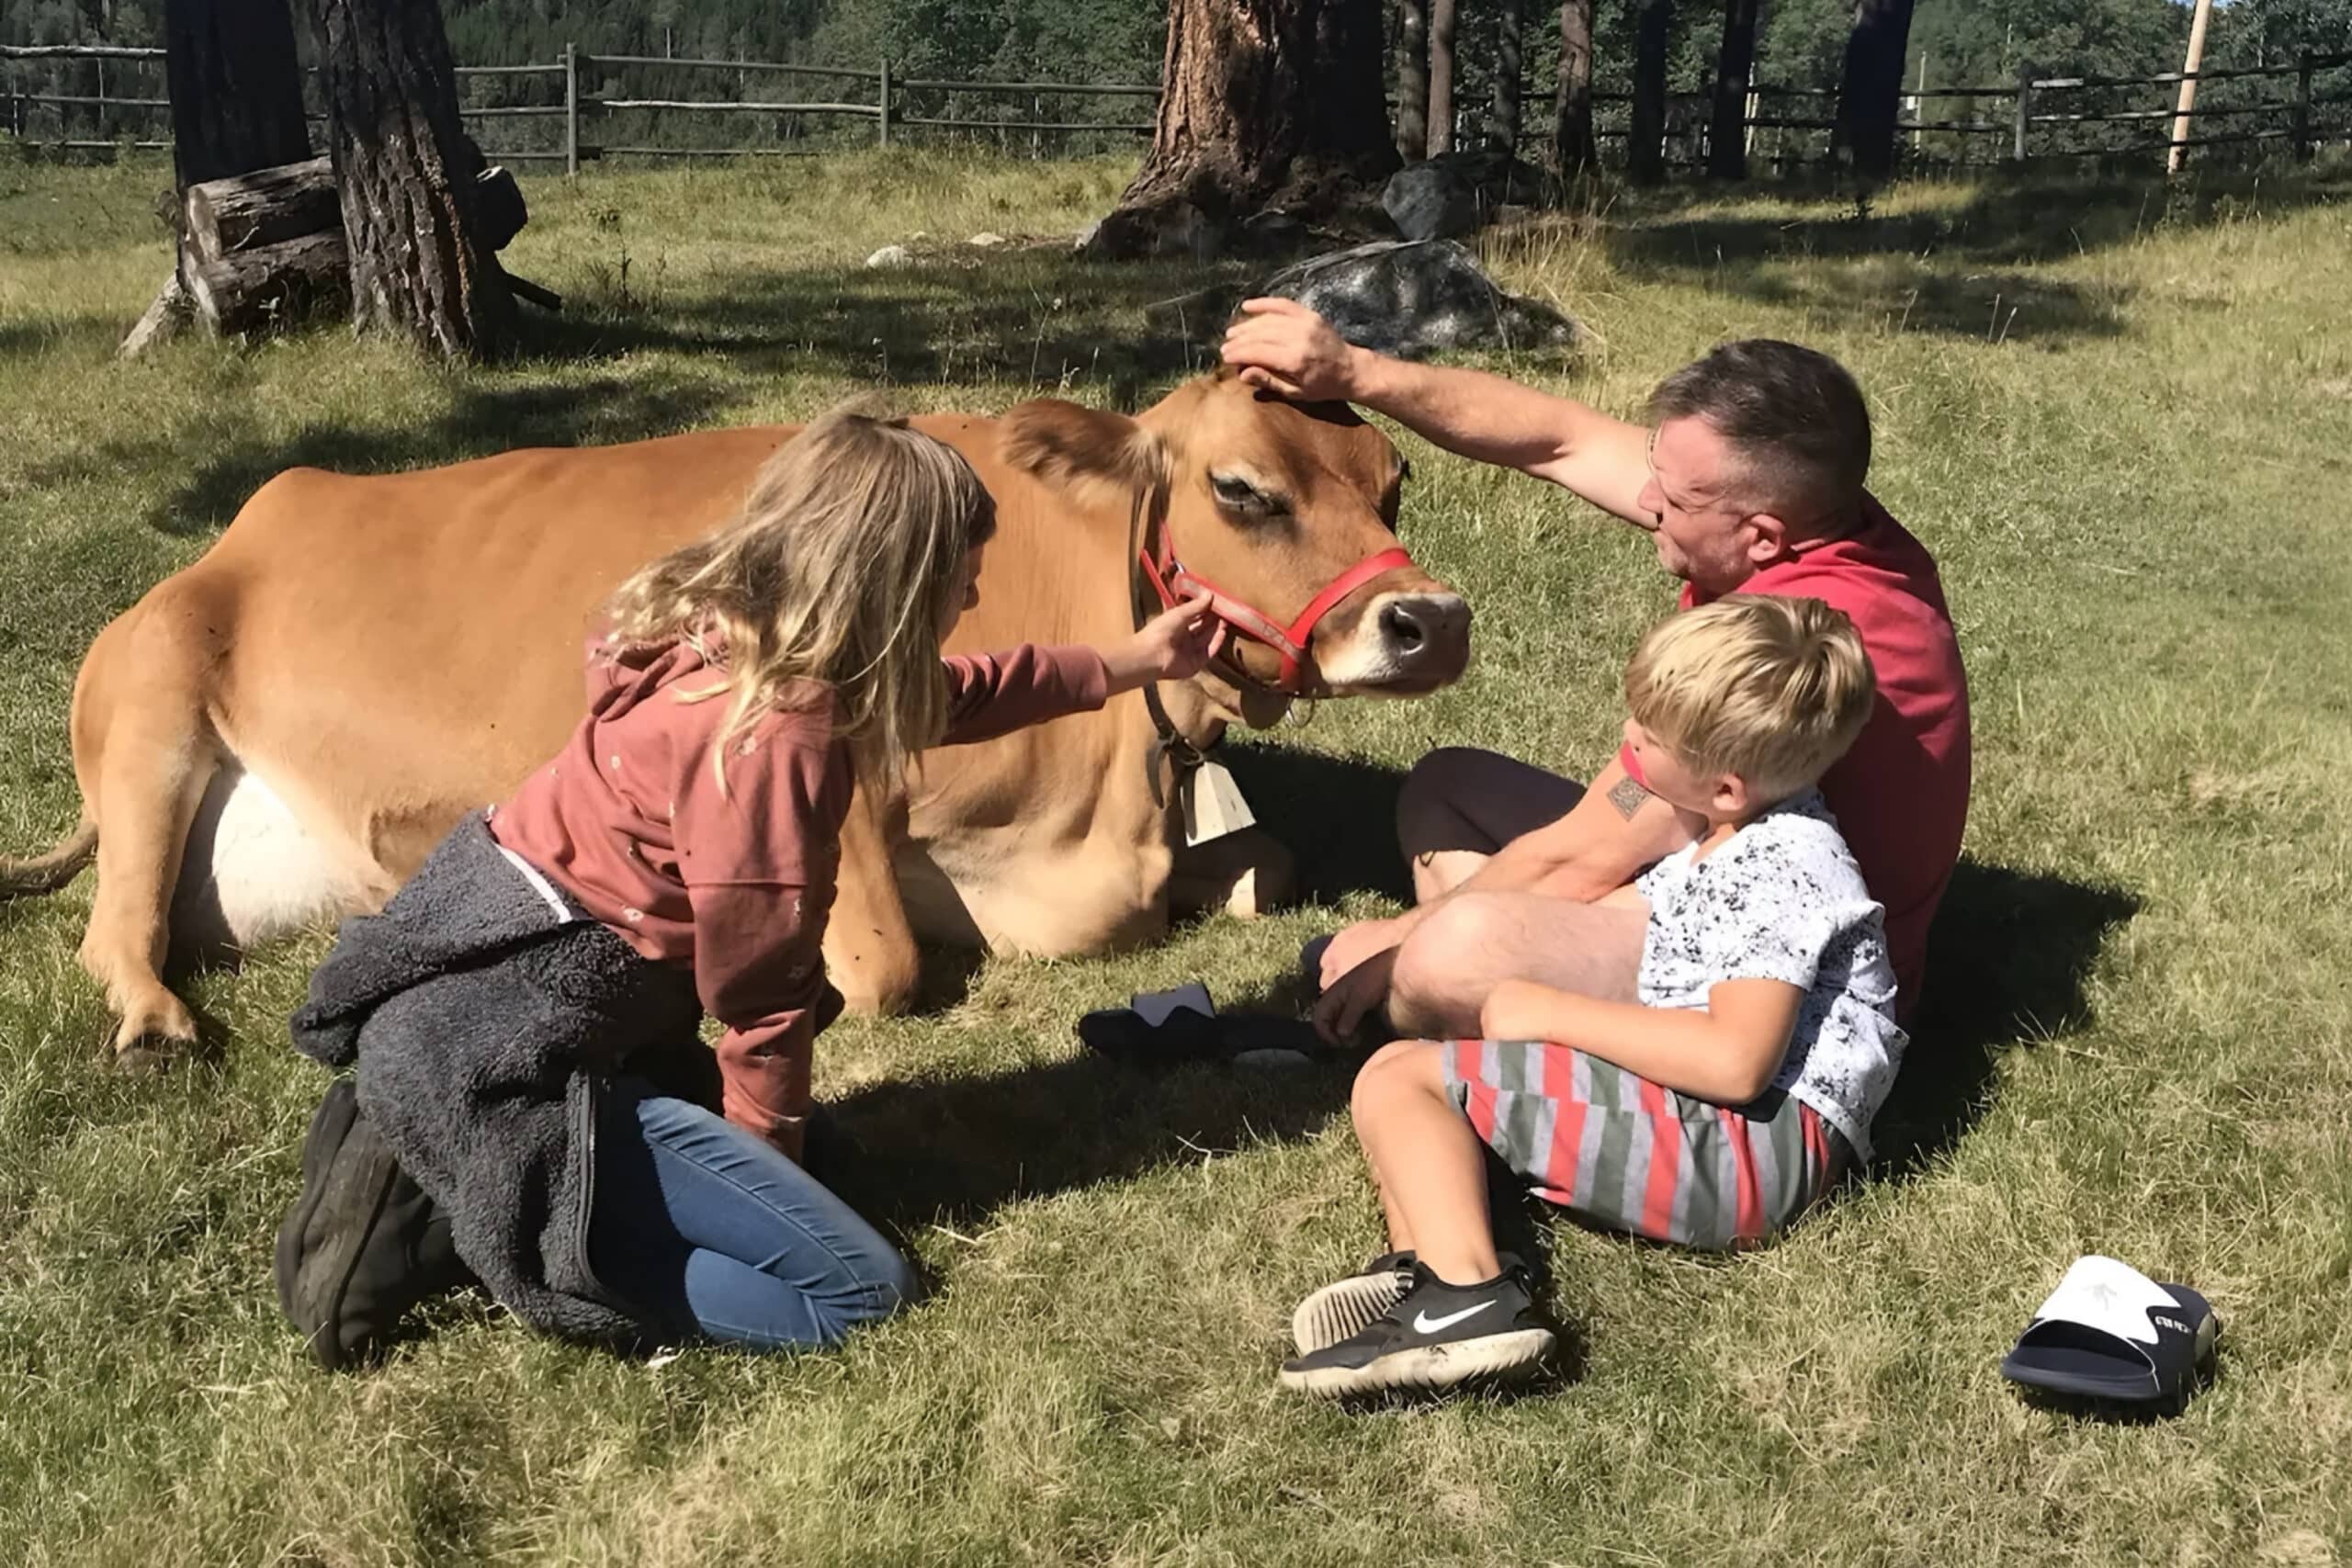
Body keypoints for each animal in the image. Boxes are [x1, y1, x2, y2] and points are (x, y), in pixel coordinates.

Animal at [0, 370, 1472, 1068]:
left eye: (1393, 479)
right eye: (1242, 487)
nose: (1430, 619)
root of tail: (248, 523)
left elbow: (1266, 863)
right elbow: (884, 963)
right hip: (153, 705)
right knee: (112, 931)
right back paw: (154, 1020)